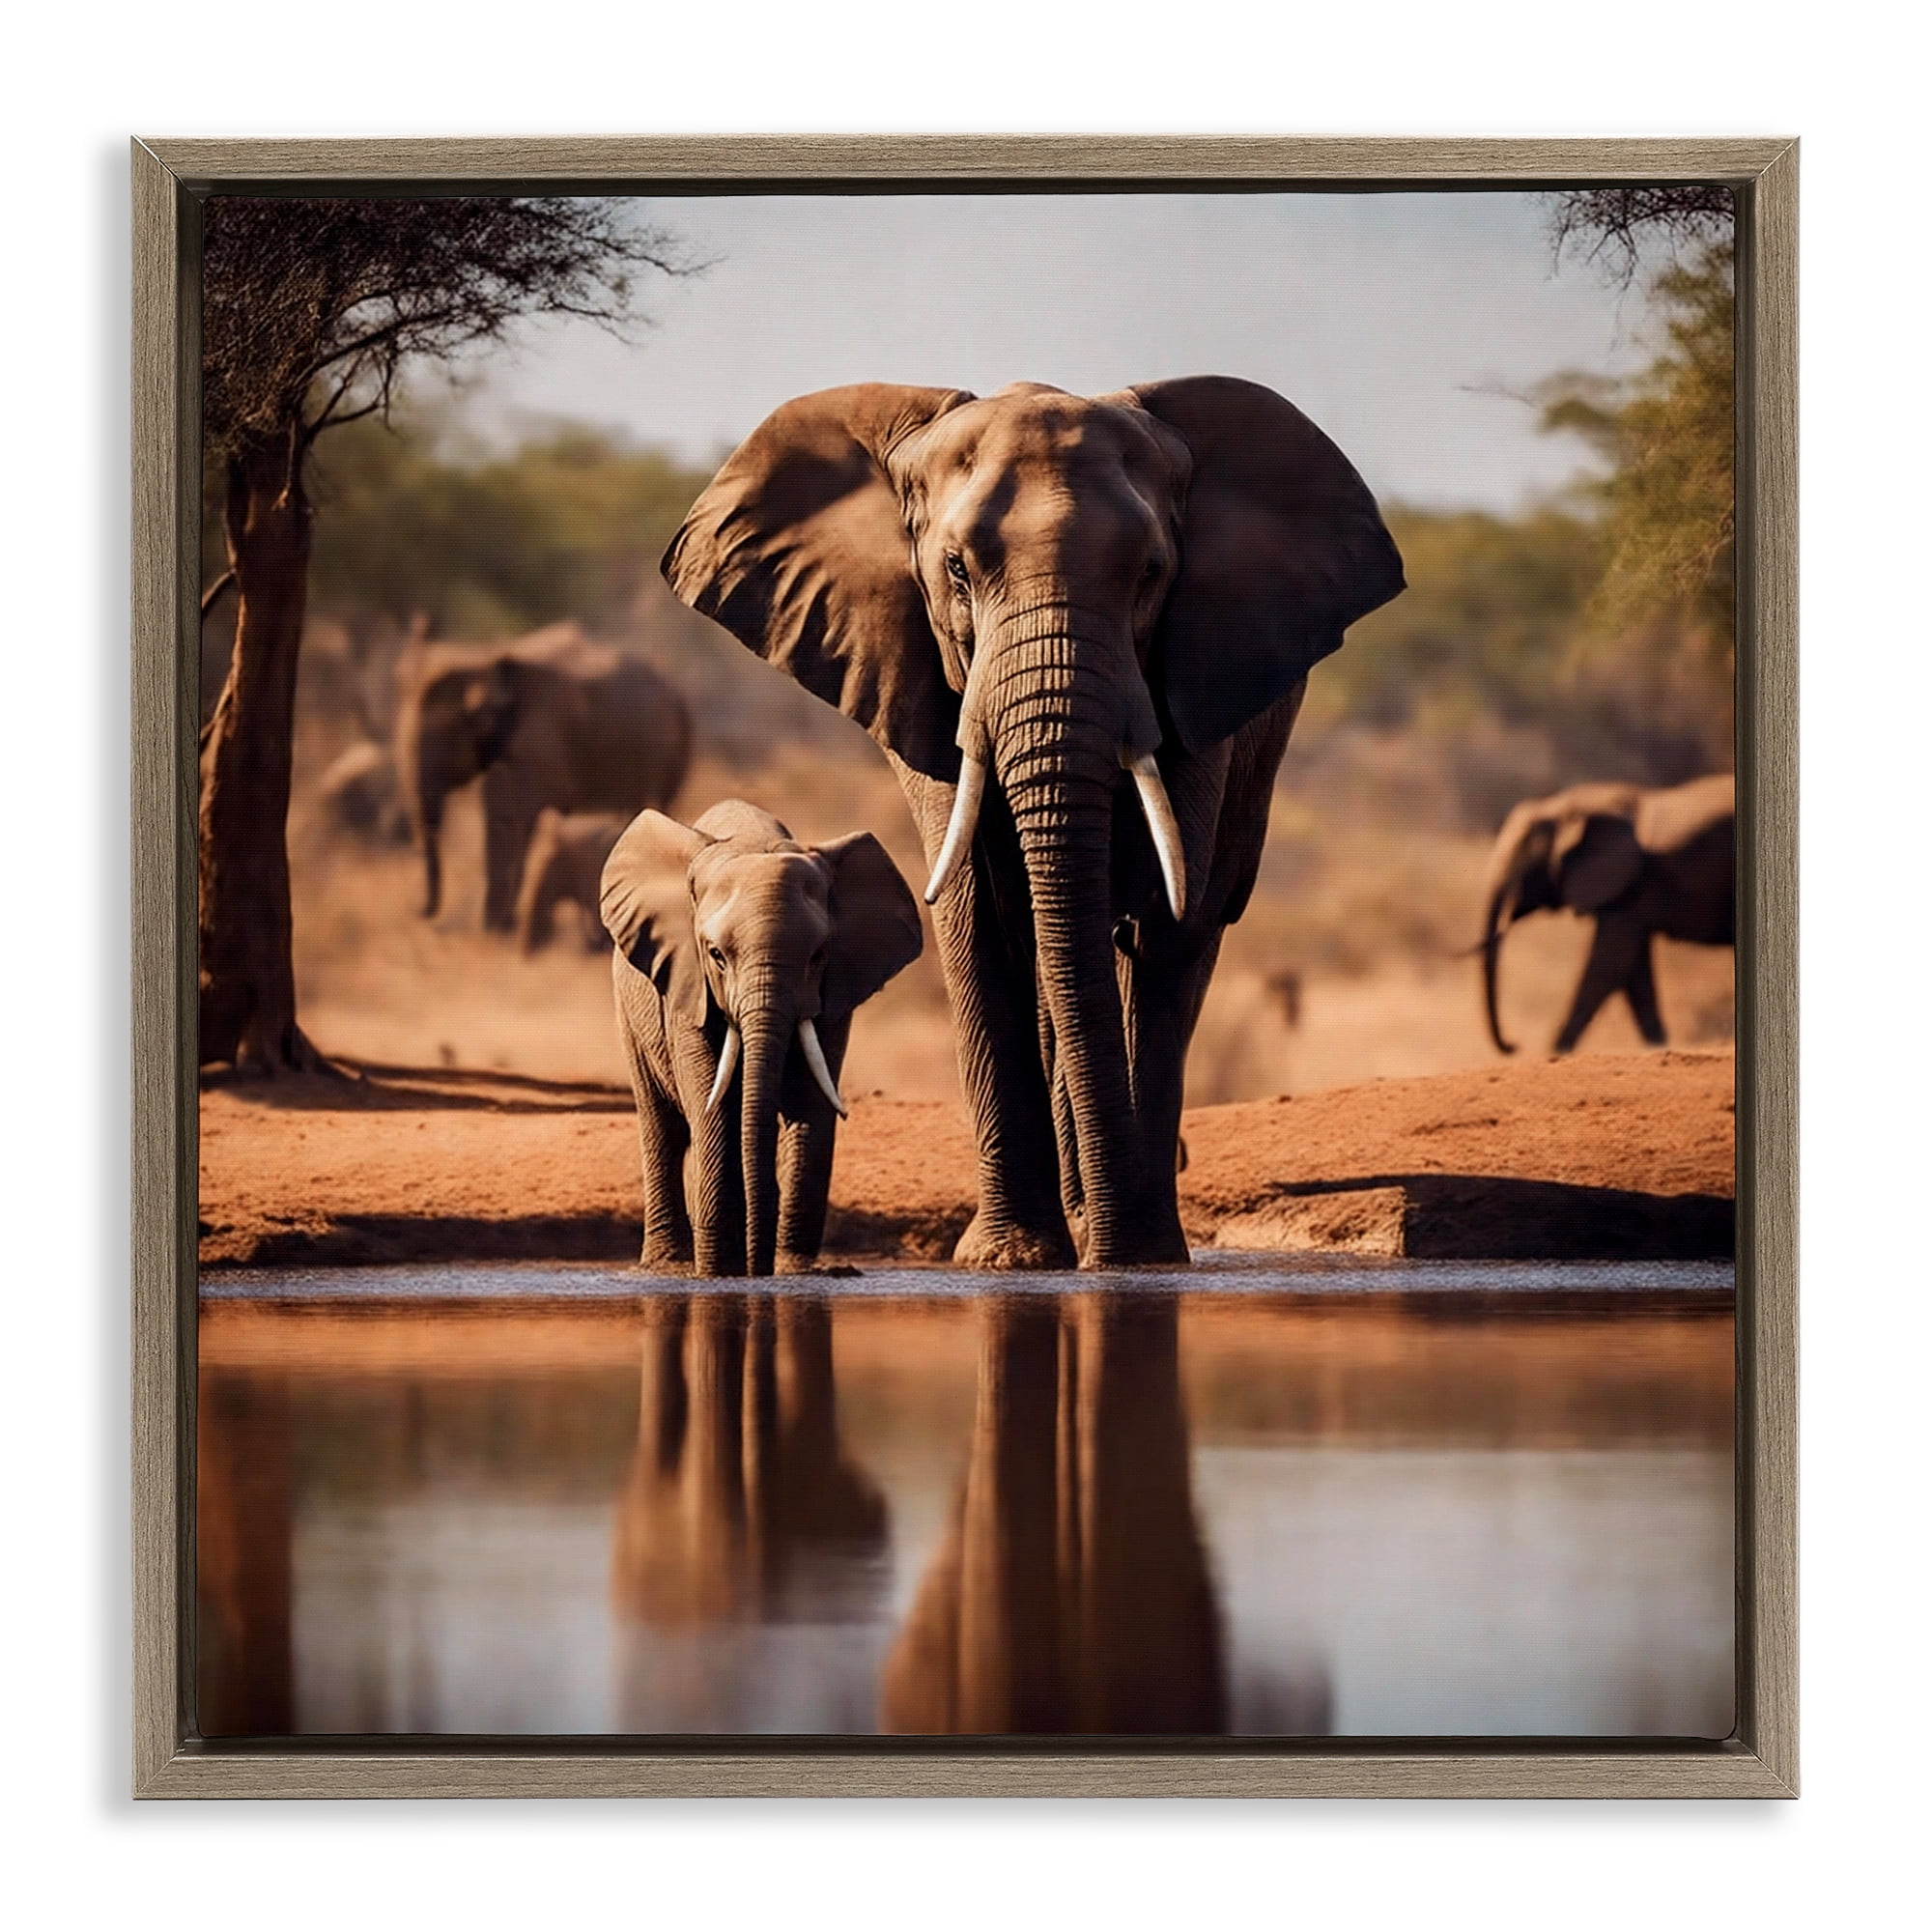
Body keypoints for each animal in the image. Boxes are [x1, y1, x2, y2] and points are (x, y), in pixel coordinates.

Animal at [393, 623, 691, 931]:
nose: (416, 912)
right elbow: (497, 816)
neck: (483, 659)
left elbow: (520, 815)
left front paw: (501, 927)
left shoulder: (540, 740)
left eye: (446, 732)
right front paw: (494, 927)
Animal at [601, 799, 924, 1277]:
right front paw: (719, 1272)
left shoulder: (835, 992)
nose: (758, 1268)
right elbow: (711, 1104)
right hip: (630, 1009)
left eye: (818, 956)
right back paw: (668, 1266)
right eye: (716, 955)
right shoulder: (687, 981)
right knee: (662, 1126)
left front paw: (794, 1272)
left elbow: (810, 1101)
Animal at [662, 379, 1403, 1269]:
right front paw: (1013, 1259)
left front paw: (1140, 1256)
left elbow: (1163, 921)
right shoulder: (926, 684)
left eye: (1151, 574)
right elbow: (977, 913)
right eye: (955, 569)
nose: (1108, 1250)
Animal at [1480, 772, 1735, 1055]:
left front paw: (1555, 1052)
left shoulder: (1628, 884)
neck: (1566, 804)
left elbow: (1609, 963)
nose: (1514, 1044)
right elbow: (1633, 970)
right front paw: (1658, 1048)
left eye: (1523, 864)